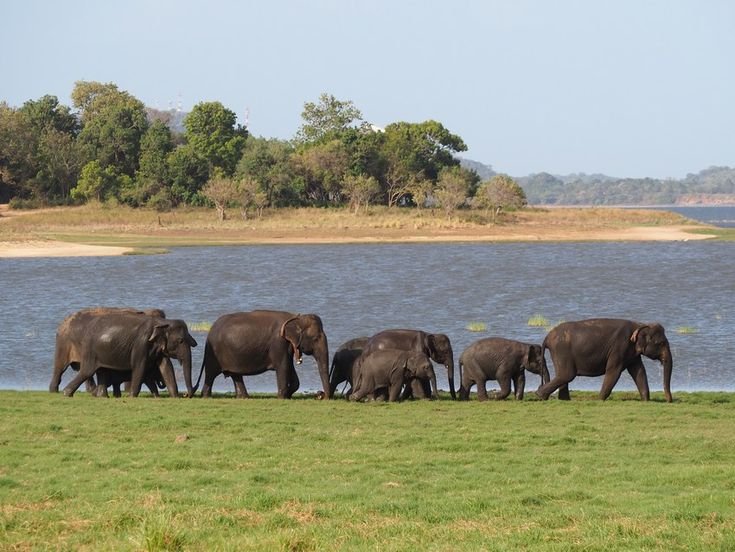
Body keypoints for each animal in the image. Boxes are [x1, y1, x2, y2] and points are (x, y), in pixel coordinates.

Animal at [62, 312, 197, 398]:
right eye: (180, 340)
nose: (186, 395)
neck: (162, 322)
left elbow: (166, 367)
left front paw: (175, 397)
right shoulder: (141, 344)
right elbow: (139, 366)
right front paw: (132, 396)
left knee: (102, 371)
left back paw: (102, 397)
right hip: (90, 351)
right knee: (87, 371)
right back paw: (66, 394)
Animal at [198, 310, 330, 396]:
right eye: (316, 339)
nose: (320, 394)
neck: (296, 318)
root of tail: (210, 330)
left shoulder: (287, 346)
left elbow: (290, 368)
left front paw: (287, 395)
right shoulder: (278, 343)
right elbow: (283, 367)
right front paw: (281, 397)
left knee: (236, 375)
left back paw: (244, 397)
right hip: (213, 354)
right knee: (210, 375)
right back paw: (206, 396)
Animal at [536, 320, 672, 402]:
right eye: (661, 343)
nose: (669, 401)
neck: (639, 324)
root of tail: (547, 337)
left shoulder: (632, 353)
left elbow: (639, 371)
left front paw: (646, 400)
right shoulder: (619, 348)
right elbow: (613, 371)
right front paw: (600, 399)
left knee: (563, 375)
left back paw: (563, 400)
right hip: (561, 351)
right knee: (567, 375)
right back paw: (540, 395)